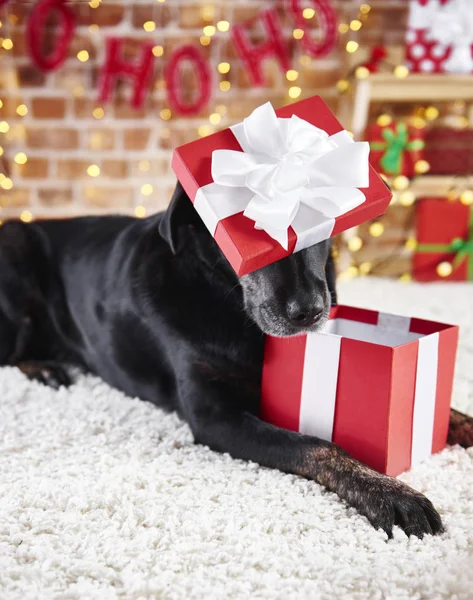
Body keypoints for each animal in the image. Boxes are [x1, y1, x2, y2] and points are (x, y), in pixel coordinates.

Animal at [1, 183, 470, 540]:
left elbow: (447, 411)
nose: (311, 311)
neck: (225, 296)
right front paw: (392, 494)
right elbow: (317, 444)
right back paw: (44, 368)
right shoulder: (215, 418)